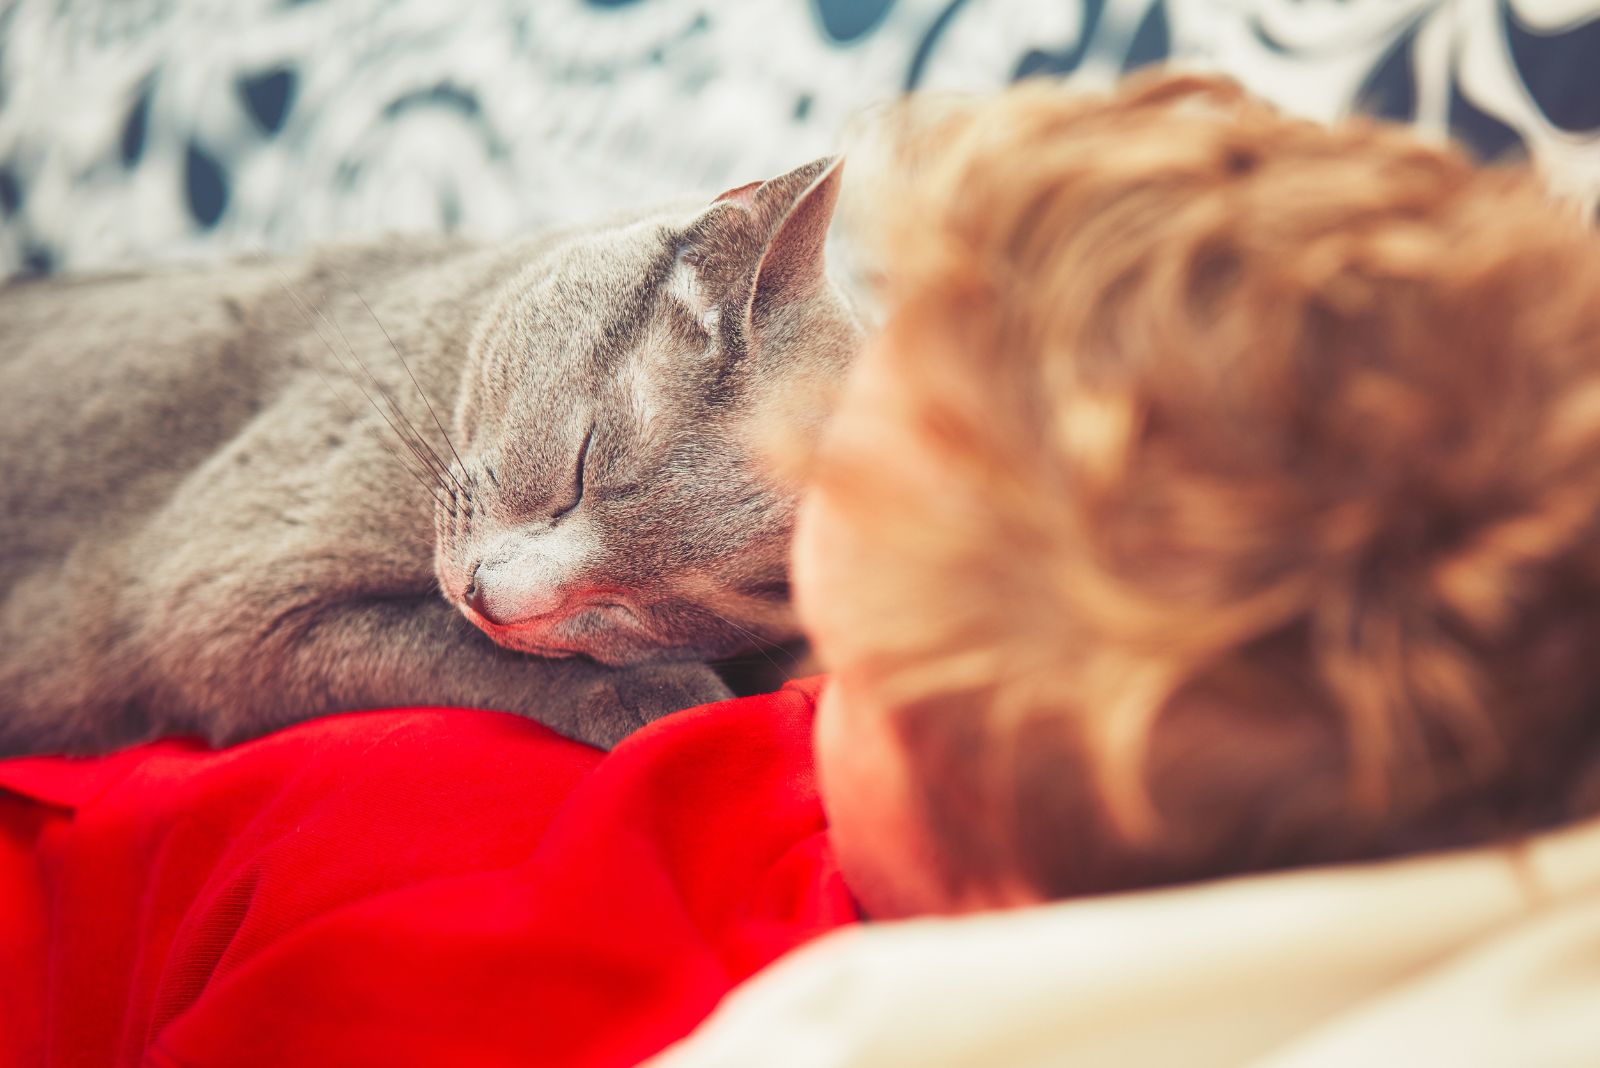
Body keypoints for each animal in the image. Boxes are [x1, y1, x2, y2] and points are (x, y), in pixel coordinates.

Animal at [0, 156, 864, 751]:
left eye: (649, 604)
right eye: (580, 468)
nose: (489, 596)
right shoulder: (222, 601)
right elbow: (458, 650)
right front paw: (667, 699)